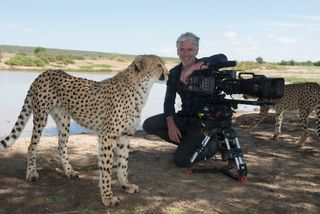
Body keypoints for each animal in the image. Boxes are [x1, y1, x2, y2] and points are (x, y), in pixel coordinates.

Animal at [0, 54, 169, 206]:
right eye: (159, 65)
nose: (168, 74)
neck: (141, 87)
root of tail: (45, 71)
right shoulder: (107, 136)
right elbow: (107, 167)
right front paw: (107, 196)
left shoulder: (125, 136)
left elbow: (123, 164)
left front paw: (125, 185)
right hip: (41, 117)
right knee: (32, 146)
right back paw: (32, 173)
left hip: (63, 121)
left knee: (61, 146)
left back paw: (69, 171)